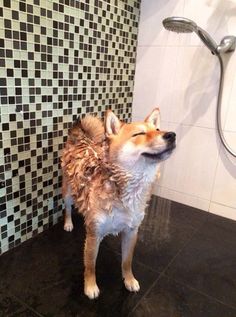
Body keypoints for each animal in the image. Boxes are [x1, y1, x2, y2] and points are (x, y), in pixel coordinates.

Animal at [60, 107, 175, 298]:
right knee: (68, 208)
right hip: (68, 192)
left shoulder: (131, 231)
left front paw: (129, 280)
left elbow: (127, 262)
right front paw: (90, 287)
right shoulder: (94, 235)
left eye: (158, 130)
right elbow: (90, 266)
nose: (171, 135)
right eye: (139, 134)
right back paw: (68, 223)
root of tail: (82, 140)